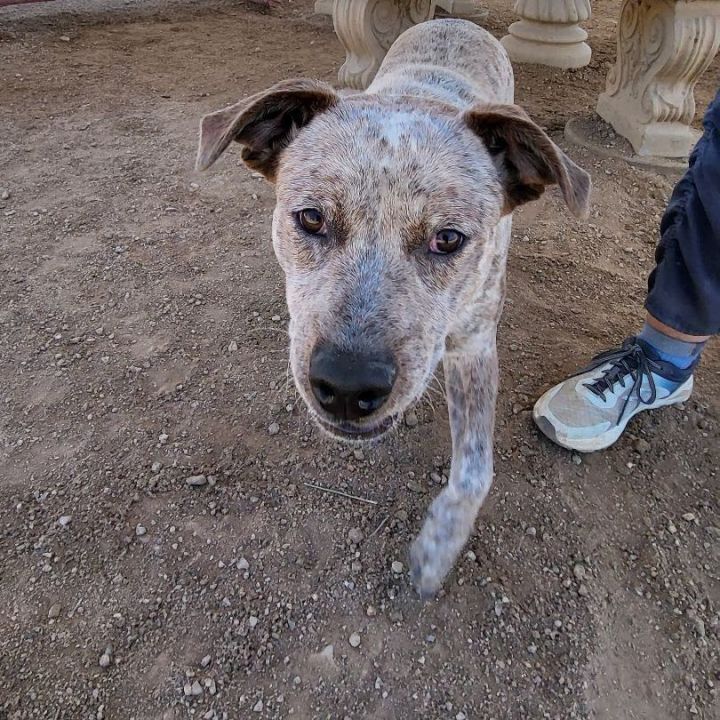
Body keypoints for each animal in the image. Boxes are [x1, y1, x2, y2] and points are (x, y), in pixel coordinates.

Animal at [195, 18, 592, 596]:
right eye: (311, 218)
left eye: (448, 239)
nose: (346, 386)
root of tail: (457, 19)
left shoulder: (474, 346)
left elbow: (476, 468)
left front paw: (436, 548)